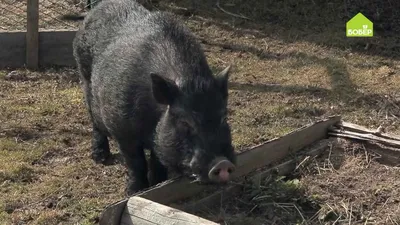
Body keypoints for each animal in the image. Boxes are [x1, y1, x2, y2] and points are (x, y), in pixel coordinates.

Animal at [70, 0, 236, 195]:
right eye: (185, 122)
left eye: (223, 118)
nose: (222, 163)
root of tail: (95, 9)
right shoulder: (122, 130)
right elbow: (136, 163)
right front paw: (134, 192)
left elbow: (158, 162)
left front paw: (158, 183)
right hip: (84, 76)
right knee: (94, 119)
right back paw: (100, 157)